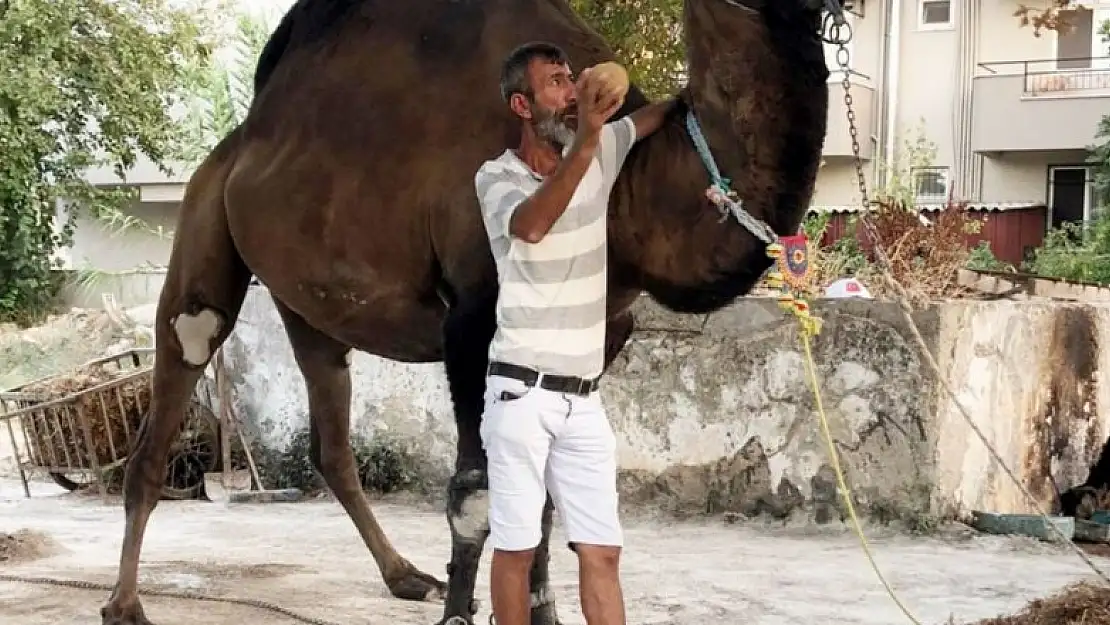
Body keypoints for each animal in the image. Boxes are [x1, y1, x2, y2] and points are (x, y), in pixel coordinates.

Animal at [99, 1, 843, 625]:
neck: (630, 194)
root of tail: (239, 142)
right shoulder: (470, 317)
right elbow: (476, 492)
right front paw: (464, 613)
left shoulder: (605, 330)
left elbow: (539, 502)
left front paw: (541, 612)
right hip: (201, 228)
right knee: (172, 387)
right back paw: (124, 604)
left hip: (306, 303)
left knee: (330, 438)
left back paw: (405, 576)